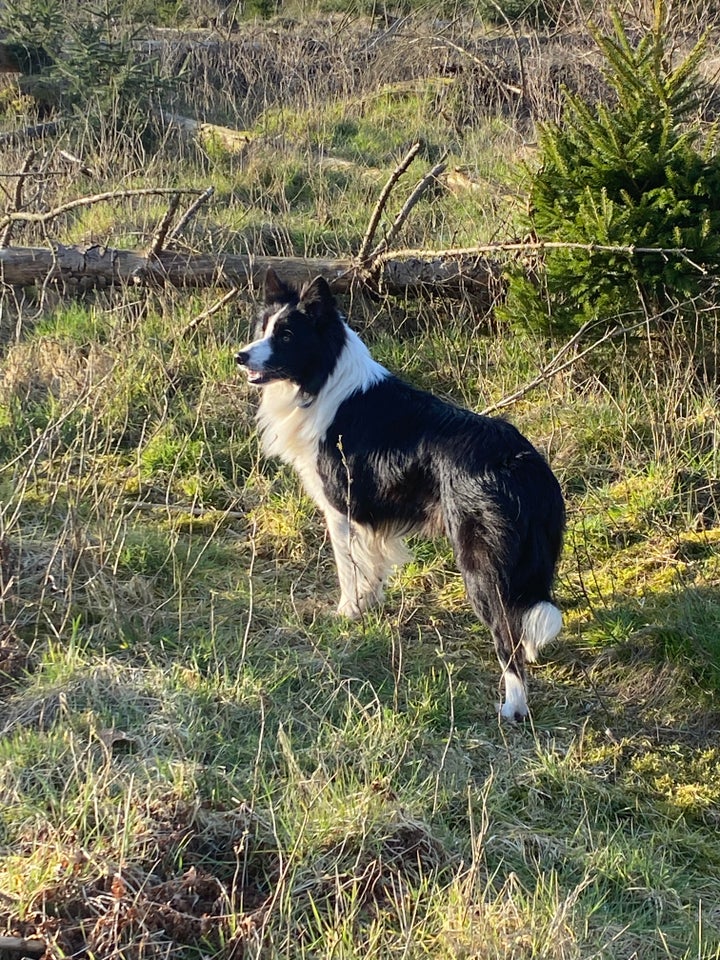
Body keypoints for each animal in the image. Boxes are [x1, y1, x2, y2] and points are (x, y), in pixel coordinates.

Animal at [233, 266, 564, 716]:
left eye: (286, 336)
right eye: (262, 328)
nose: (241, 356)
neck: (324, 378)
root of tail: (523, 464)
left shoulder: (342, 510)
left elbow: (348, 569)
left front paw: (347, 613)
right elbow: (370, 568)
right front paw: (367, 606)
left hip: (480, 565)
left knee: (504, 634)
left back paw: (513, 705)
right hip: (529, 560)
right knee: (522, 614)